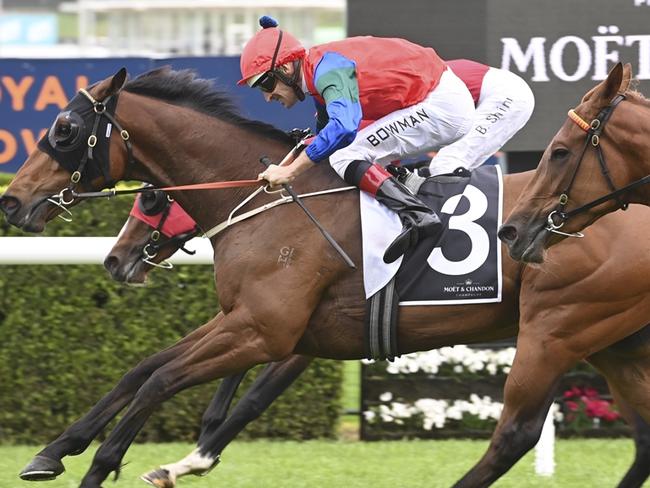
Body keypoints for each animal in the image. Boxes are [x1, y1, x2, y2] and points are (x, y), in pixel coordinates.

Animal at [106, 188, 648, 488]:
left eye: (151, 197)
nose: (115, 258)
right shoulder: (285, 326)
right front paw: (196, 447)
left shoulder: (295, 334)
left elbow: (252, 397)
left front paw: (192, 458)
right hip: (612, 340)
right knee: (643, 433)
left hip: (556, 329)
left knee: (518, 431)